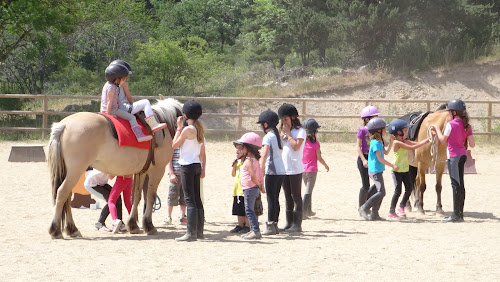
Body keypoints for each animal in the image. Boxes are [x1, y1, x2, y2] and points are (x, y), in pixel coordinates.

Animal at [47, 98, 182, 239]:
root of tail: (63, 125)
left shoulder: (141, 172)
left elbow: (137, 197)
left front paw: (133, 225)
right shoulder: (157, 170)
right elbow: (150, 196)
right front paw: (149, 226)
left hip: (69, 172)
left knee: (66, 197)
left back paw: (71, 229)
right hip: (75, 172)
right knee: (62, 193)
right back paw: (56, 230)